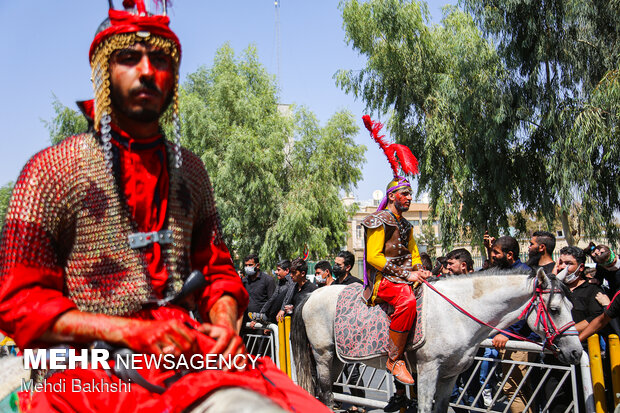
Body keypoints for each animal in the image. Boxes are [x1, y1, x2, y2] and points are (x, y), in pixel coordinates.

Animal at [294, 268, 584, 412]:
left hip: (337, 359)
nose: (576, 353)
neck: (458, 312)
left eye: (573, 306)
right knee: (326, 391)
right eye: (554, 309)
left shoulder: (451, 374)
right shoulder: (427, 369)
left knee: (323, 389)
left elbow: (442, 407)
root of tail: (312, 295)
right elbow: (424, 406)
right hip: (323, 354)